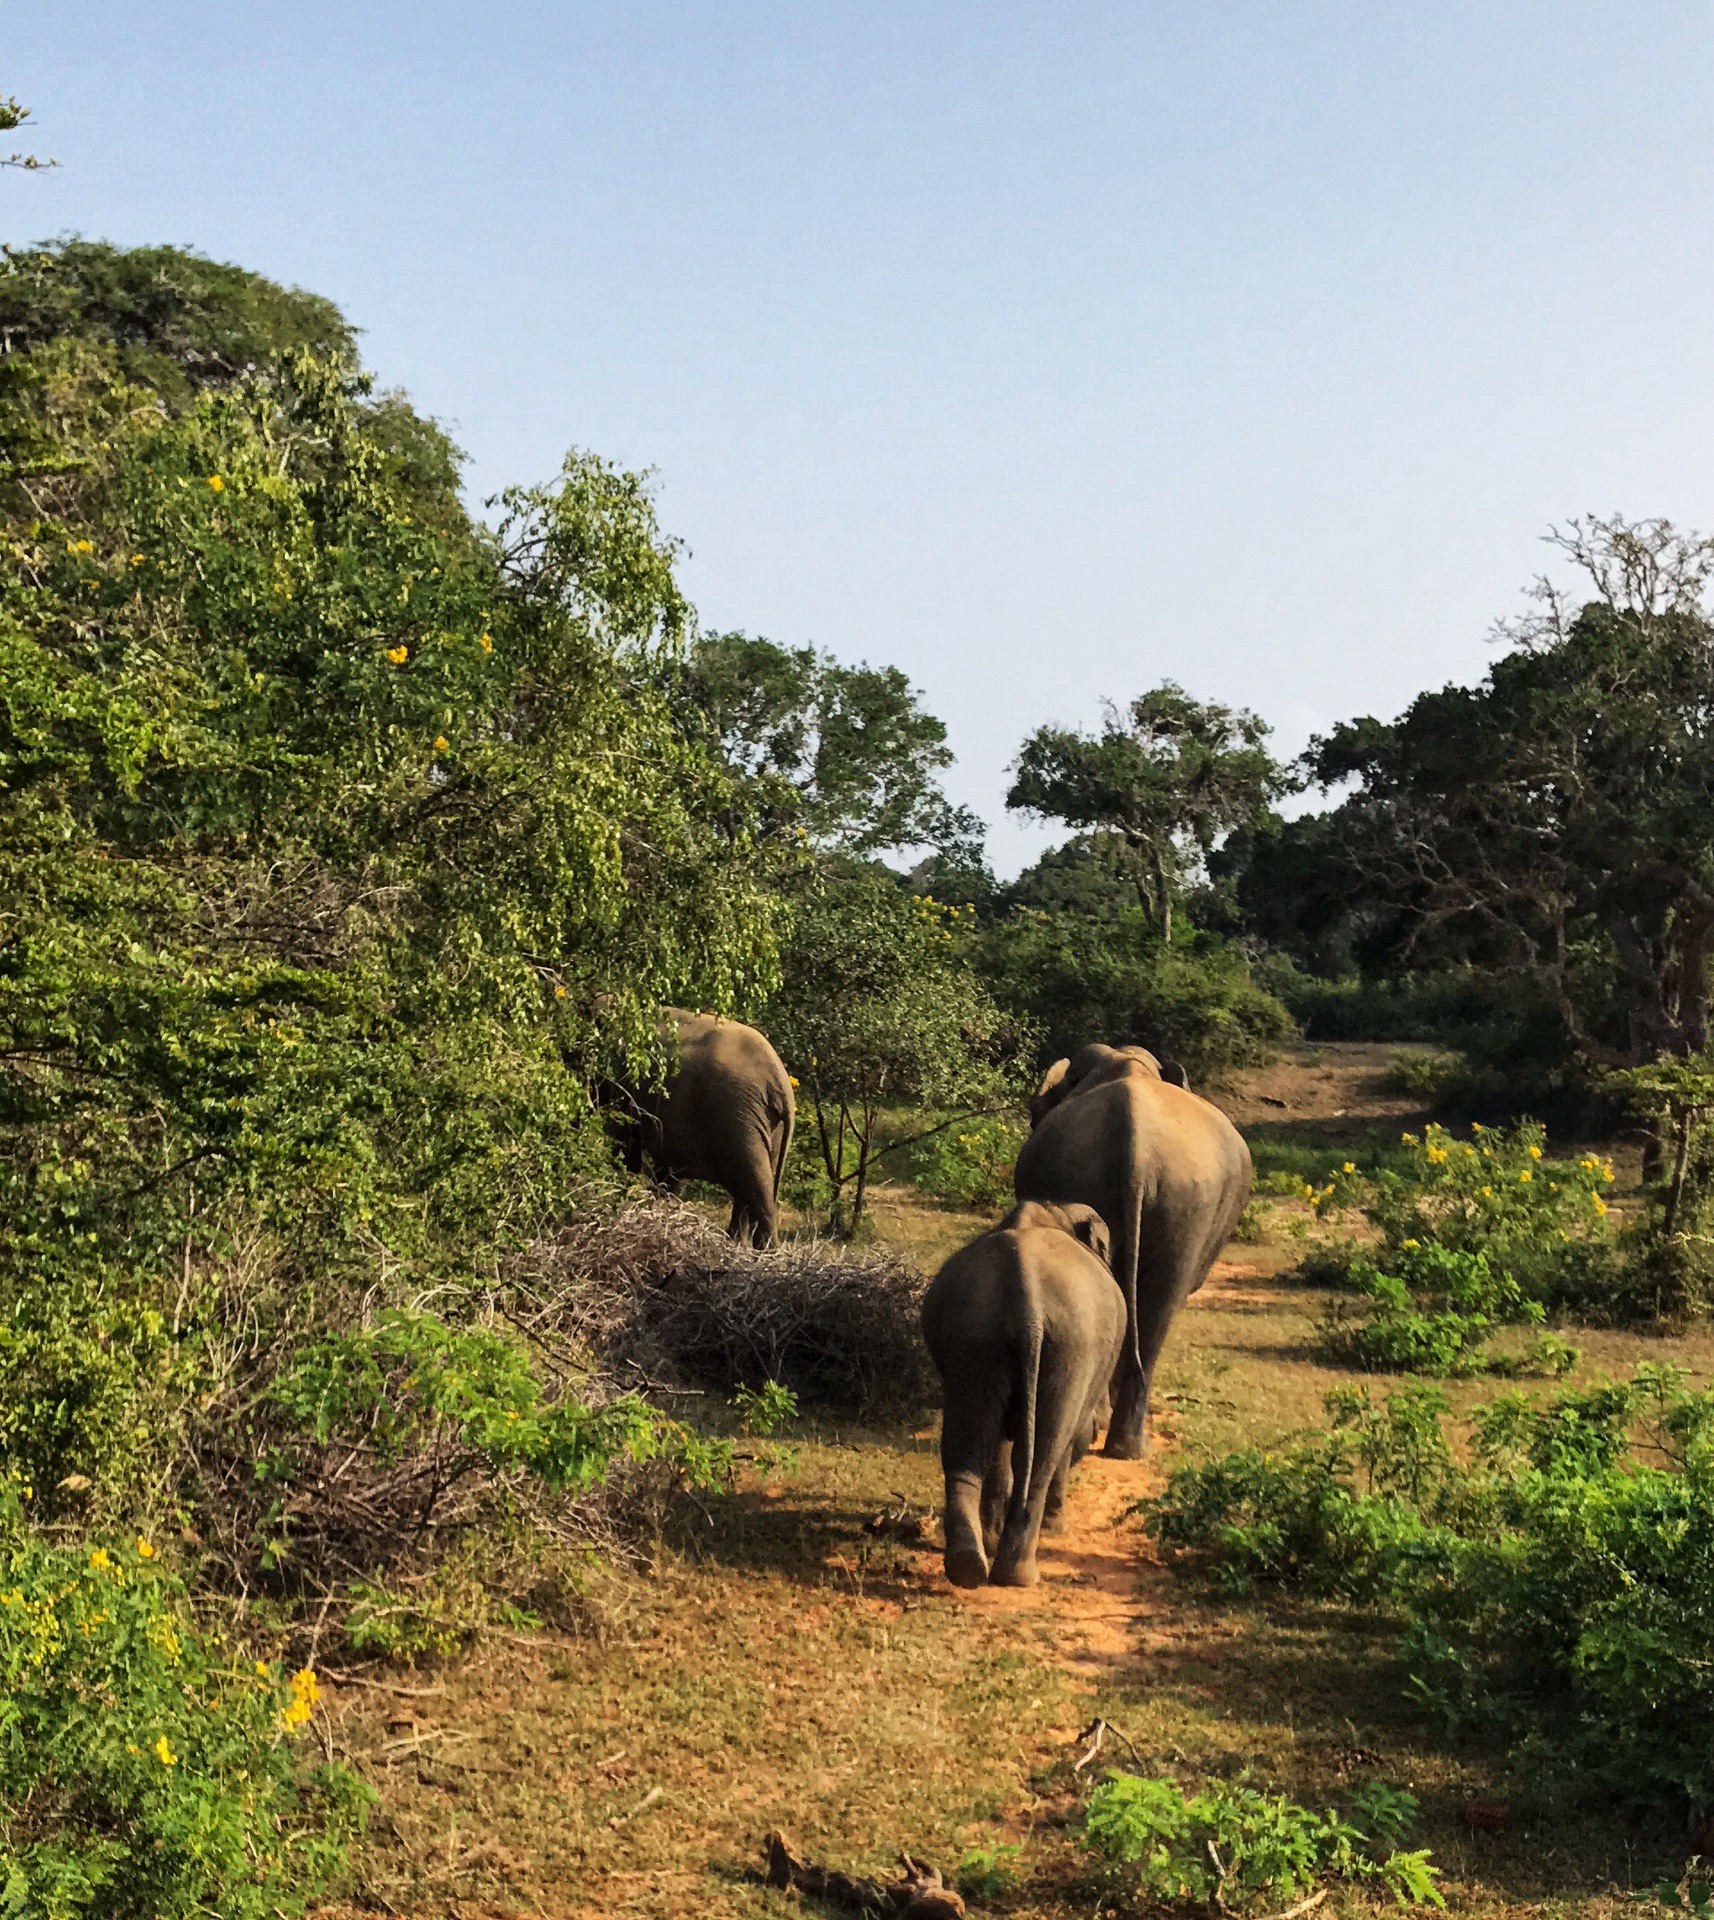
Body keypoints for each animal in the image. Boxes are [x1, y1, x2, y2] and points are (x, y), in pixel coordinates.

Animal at [610, 1013, 794, 1251]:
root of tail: (780, 1081)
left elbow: (623, 1141)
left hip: (736, 1114)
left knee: (753, 1182)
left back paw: (763, 1251)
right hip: (765, 1123)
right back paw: (739, 1244)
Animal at [921, 1198, 1120, 1589]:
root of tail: (1026, 1293)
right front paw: (1056, 1527)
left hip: (974, 1337)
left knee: (965, 1444)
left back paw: (970, 1564)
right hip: (1072, 1349)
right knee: (1047, 1449)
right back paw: (1019, 1573)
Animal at [1013, 1044, 1243, 1459]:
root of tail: (1136, 1153)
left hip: (1177, 1201)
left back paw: (1122, 1445)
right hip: (1182, 1204)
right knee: (1154, 1311)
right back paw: (1125, 1444)